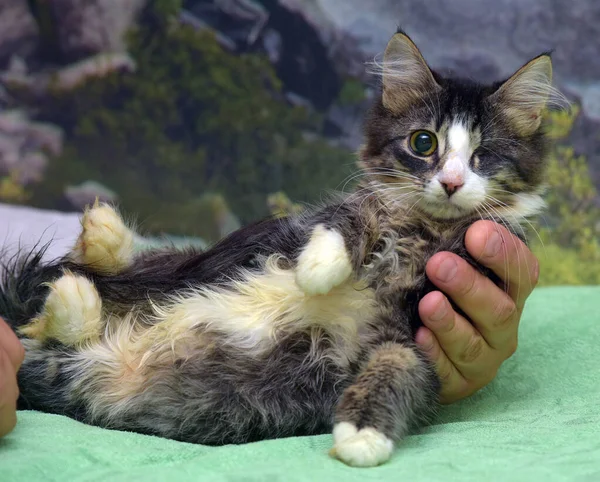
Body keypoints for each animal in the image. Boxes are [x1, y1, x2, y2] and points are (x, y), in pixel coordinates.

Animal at [2, 31, 560, 466]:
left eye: (483, 155)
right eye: (424, 143)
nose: (450, 182)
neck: (421, 233)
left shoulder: (413, 337)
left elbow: (396, 373)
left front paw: (361, 438)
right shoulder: (349, 213)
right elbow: (344, 225)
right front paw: (317, 271)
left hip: (81, 369)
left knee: (52, 332)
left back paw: (75, 297)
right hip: (178, 269)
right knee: (66, 292)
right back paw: (101, 237)